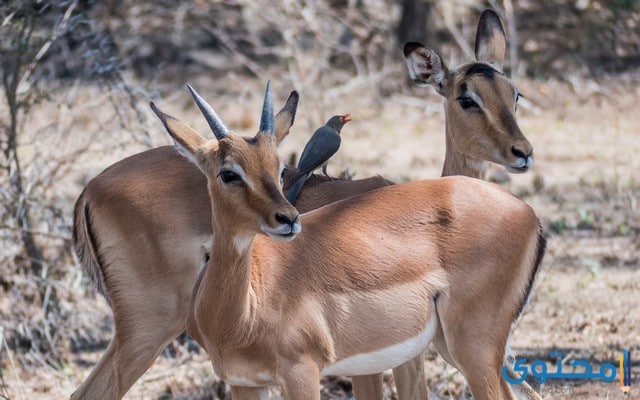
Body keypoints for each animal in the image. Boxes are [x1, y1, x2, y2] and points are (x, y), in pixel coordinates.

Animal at [151, 80, 544, 400]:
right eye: (228, 173)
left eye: (278, 166)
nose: (288, 218)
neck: (240, 312)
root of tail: (529, 214)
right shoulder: (244, 382)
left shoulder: (302, 373)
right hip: (456, 347)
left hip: (471, 348)